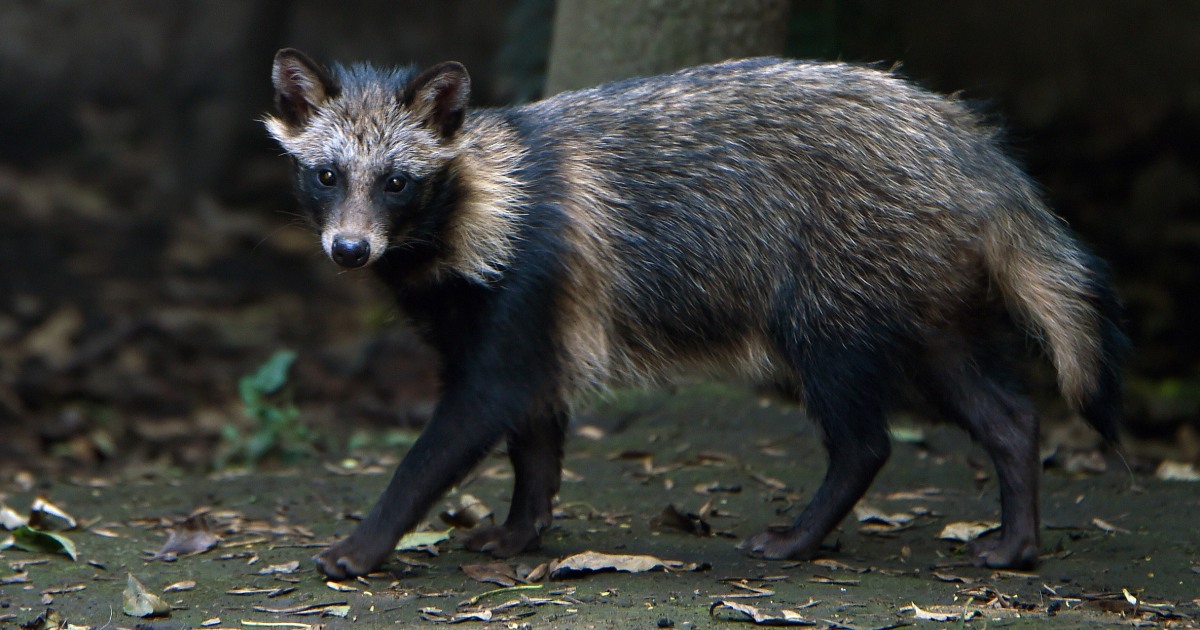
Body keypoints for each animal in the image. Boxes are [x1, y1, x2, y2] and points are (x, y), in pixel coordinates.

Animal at [265, 48, 1127, 579]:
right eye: (327, 174)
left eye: (397, 182)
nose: (349, 249)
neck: (478, 202)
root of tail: (961, 138)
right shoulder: (518, 326)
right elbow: (535, 442)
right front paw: (522, 527)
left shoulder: (523, 300)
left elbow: (444, 443)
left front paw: (366, 541)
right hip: (920, 308)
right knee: (1008, 414)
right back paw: (1018, 537)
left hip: (830, 301)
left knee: (865, 440)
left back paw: (806, 533)